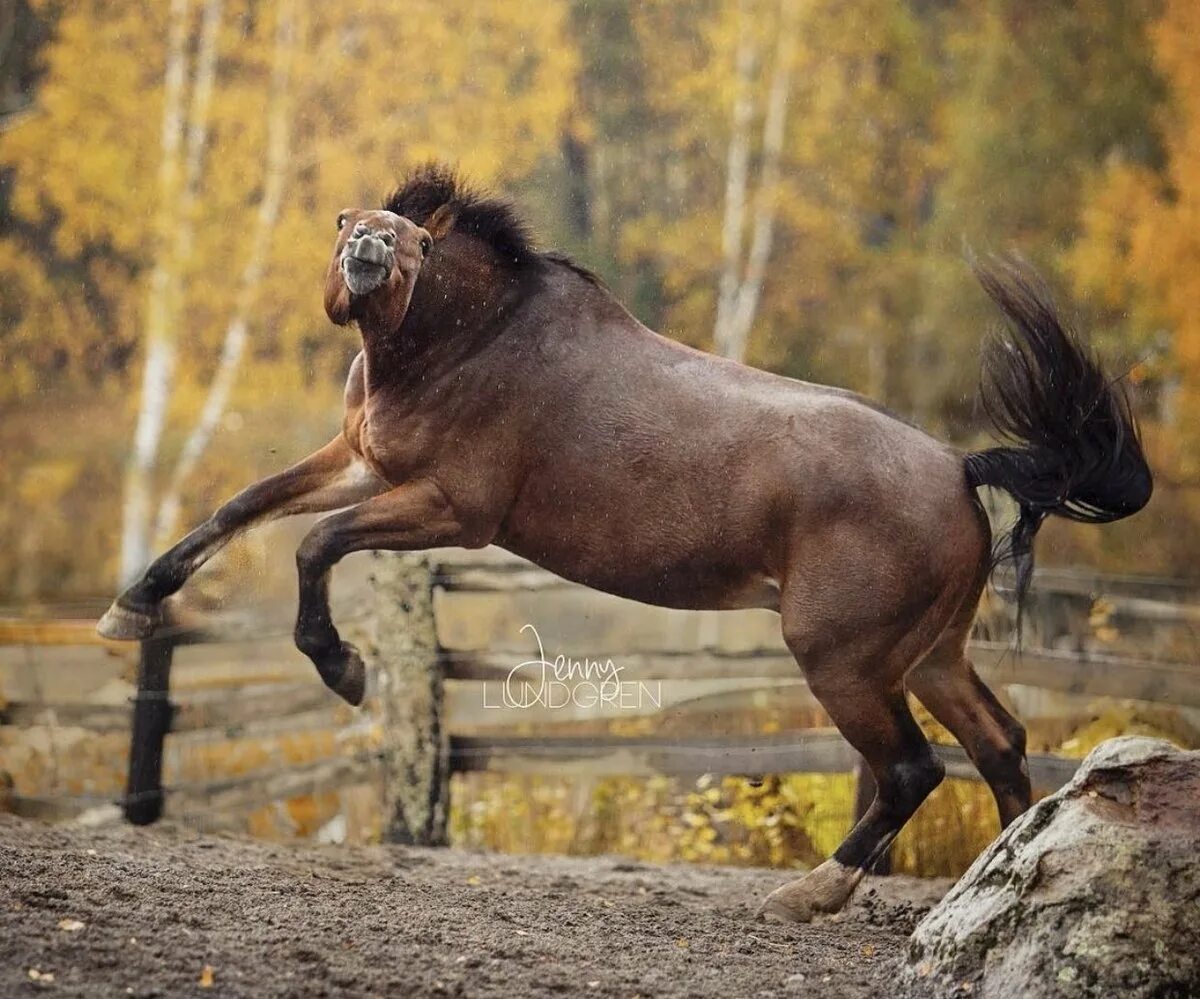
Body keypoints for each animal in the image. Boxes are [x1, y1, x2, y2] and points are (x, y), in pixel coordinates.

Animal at [100, 162, 1152, 922]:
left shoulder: (451, 510)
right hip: (930, 655)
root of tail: (958, 470)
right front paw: (132, 605)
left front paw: (344, 667)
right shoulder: (362, 463)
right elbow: (242, 508)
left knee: (910, 770)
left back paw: (811, 893)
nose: (366, 250)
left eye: (416, 239)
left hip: (845, 660)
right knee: (1001, 745)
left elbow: (314, 545)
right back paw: (1000, 885)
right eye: (345, 217)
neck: (467, 343)